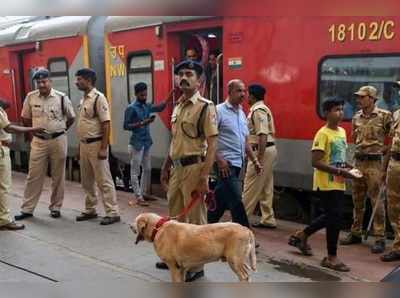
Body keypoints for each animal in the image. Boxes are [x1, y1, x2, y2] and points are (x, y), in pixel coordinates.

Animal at [130, 212, 258, 282]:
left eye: (135, 221)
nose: (130, 226)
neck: (158, 228)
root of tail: (246, 229)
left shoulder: (173, 266)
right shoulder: (181, 269)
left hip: (234, 260)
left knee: (244, 276)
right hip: (240, 259)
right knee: (247, 274)